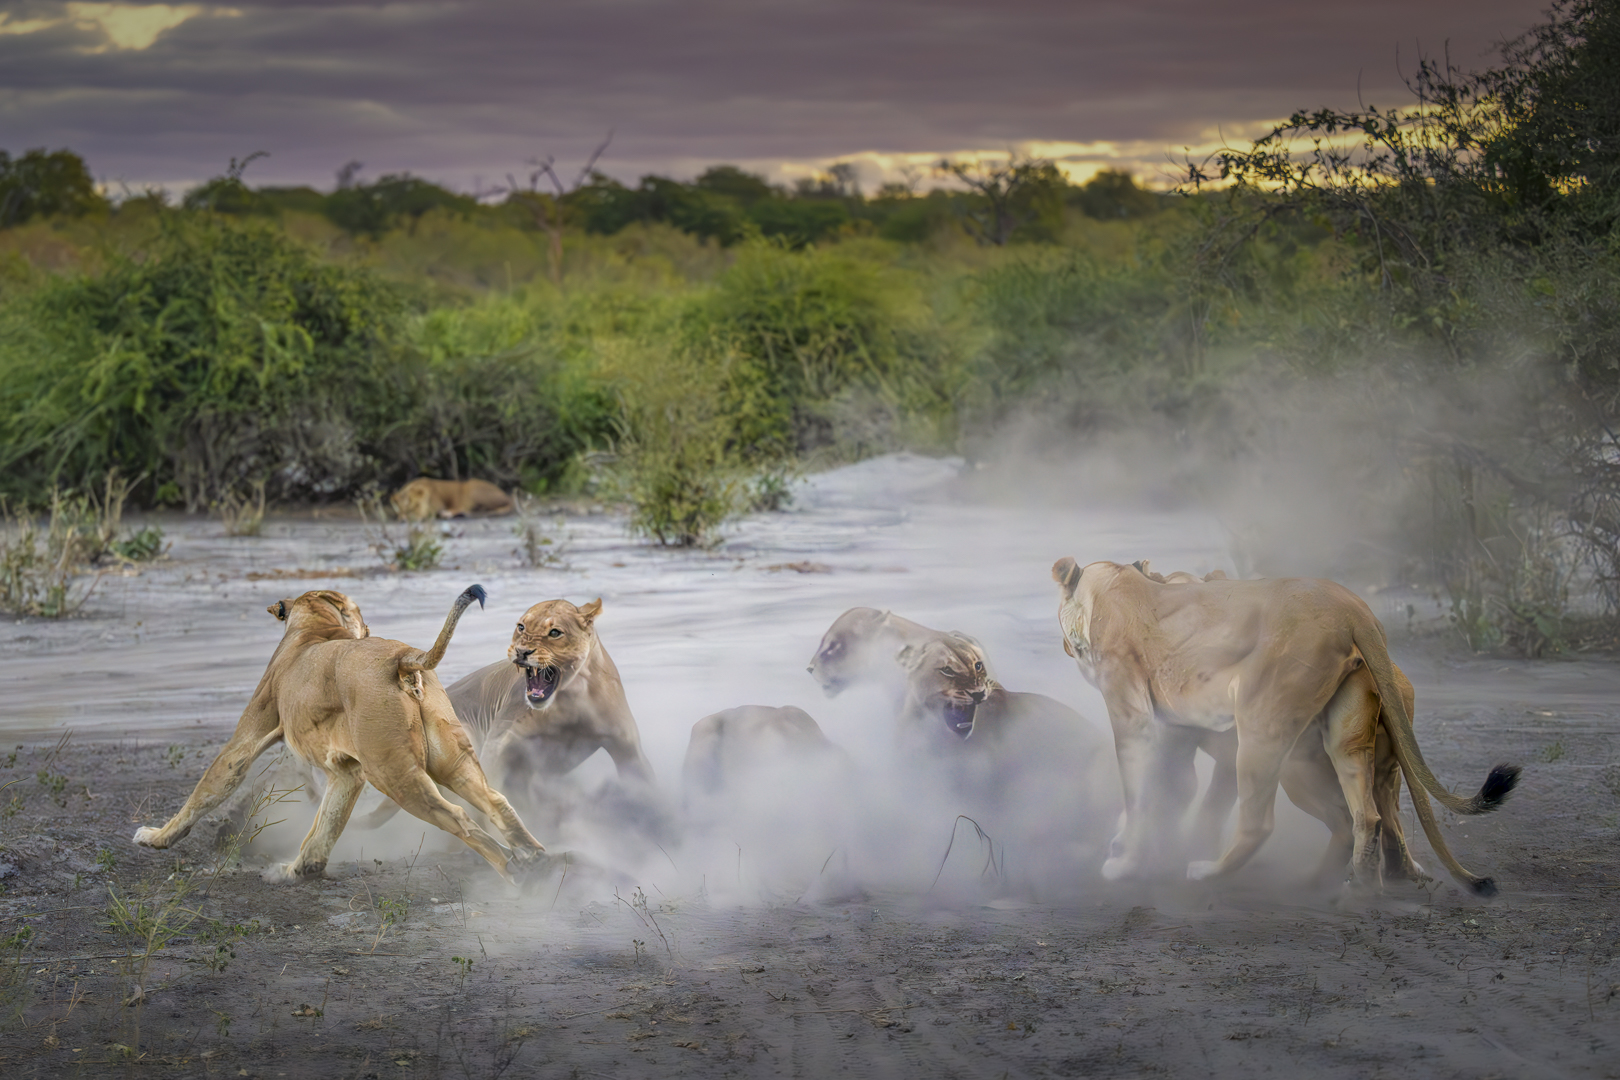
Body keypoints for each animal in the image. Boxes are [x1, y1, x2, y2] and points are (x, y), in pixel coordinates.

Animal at [133, 586, 546, 884]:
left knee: (461, 819)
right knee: (496, 800)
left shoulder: (246, 740)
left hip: (394, 774)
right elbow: (326, 825)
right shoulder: (347, 771)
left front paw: (155, 837)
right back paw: (538, 858)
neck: (316, 626)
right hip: (451, 761)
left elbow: (204, 793)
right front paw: (297, 870)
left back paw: (515, 873)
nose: (368, 628)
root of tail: (402, 657)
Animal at [1052, 557, 1519, 894]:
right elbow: (1176, 792)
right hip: (1346, 743)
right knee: (1369, 815)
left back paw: (1209, 872)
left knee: (1264, 822)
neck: (1112, 587)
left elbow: (1143, 792)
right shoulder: (1176, 731)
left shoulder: (1136, 719)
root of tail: (1354, 608)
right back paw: (1356, 885)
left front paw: (1125, 863)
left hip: (1264, 726)